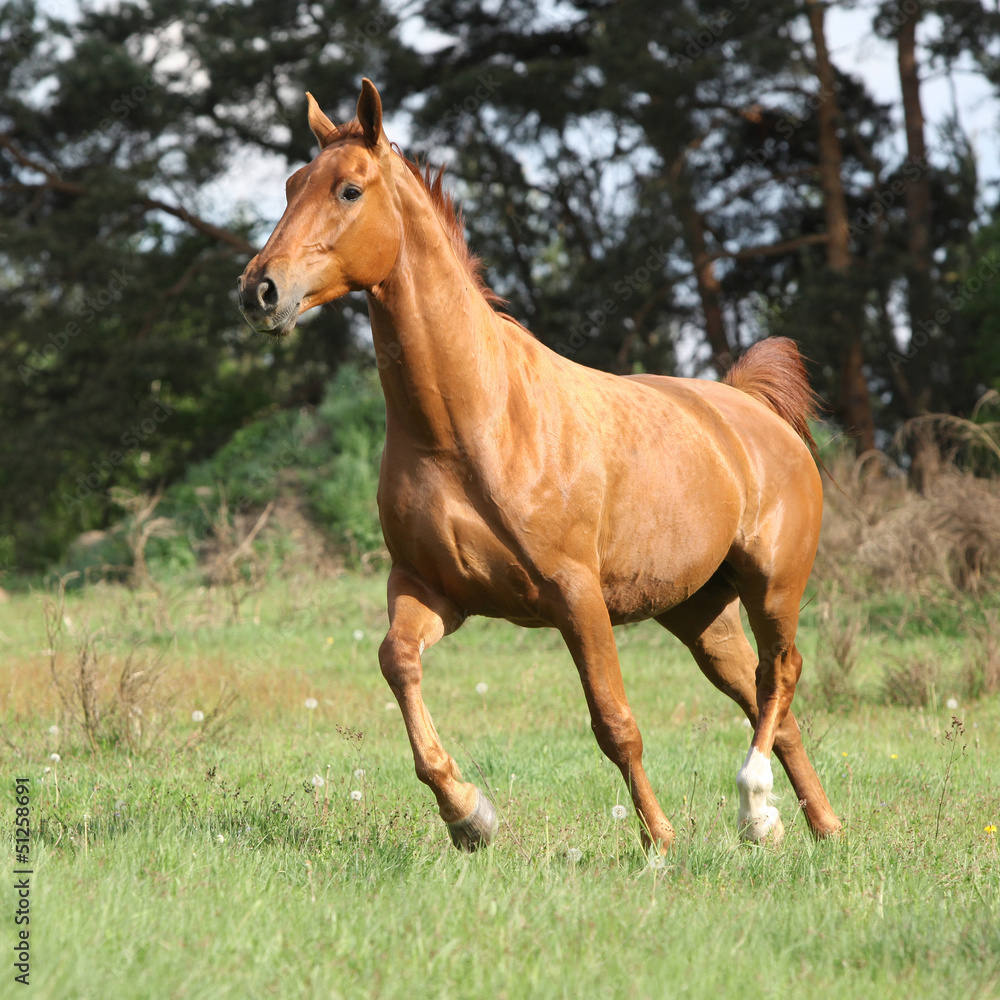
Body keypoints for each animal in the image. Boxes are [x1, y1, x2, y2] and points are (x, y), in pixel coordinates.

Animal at [238, 82, 840, 856]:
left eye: (348, 189)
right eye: (290, 185)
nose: (259, 291)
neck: (472, 427)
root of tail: (752, 409)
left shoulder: (576, 596)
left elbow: (615, 723)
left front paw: (660, 843)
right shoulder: (432, 590)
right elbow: (397, 662)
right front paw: (468, 814)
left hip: (772, 588)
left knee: (781, 675)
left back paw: (756, 805)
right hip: (701, 614)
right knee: (767, 697)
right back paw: (815, 826)